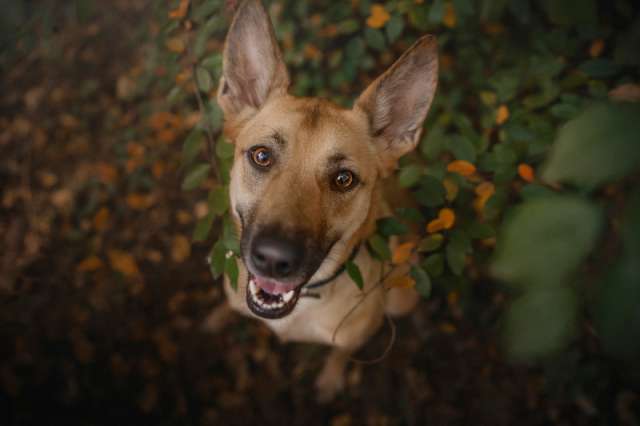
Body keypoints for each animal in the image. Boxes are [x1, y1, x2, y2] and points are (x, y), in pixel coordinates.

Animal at [208, 0, 438, 402]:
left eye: (343, 179)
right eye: (261, 156)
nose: (274, 259)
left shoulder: (351, 339)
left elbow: (339, 355)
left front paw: (330, 381)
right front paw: (220, 316)